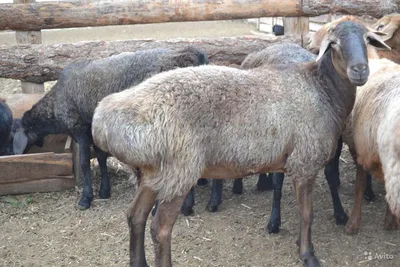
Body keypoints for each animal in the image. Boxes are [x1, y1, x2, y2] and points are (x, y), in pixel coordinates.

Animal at [13, 47, 209, 210]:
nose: (13, 155)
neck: (56, 104)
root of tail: (191, 54)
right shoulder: (94, 130)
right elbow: (100, 157)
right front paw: (104, 191)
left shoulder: (80, 128)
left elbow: (84, 163)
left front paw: (86, 198)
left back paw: (184, 205)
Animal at [91, 21, 388, 267]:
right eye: (334, 43)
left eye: (367, 39)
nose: (360, 70)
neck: (321, 89)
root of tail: (104, 118)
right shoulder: (304, 161)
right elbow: (307, 214)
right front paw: (308, 255)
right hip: (179, 168)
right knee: (160, 228)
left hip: (154, 173)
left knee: (135, 217)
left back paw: (137, 262)